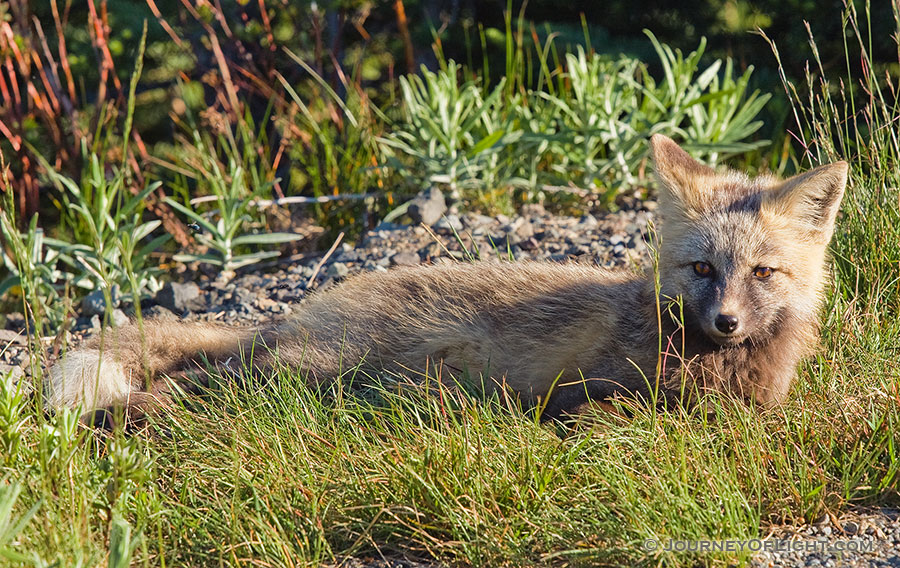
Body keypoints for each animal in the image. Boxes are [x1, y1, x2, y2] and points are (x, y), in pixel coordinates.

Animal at [45, 136, 848, 422]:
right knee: (186, 384)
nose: (726, 322)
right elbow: (606, 411)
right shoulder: (606, 390)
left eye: (764, 272)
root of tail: (294, 314)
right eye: (702, 269)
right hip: (307, 370)